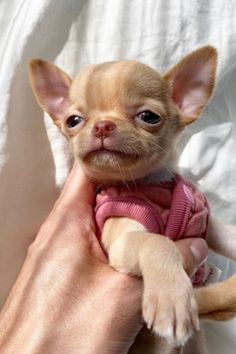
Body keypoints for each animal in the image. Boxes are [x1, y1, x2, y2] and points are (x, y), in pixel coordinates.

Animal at [29, 45, 236, 352]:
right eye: (73, 121)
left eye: (149, 116)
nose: (102, 125)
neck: (150, 182)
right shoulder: (122, 242)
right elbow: (159, 243)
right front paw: (172, 299)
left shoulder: (206, 223)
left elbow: (229, 234)